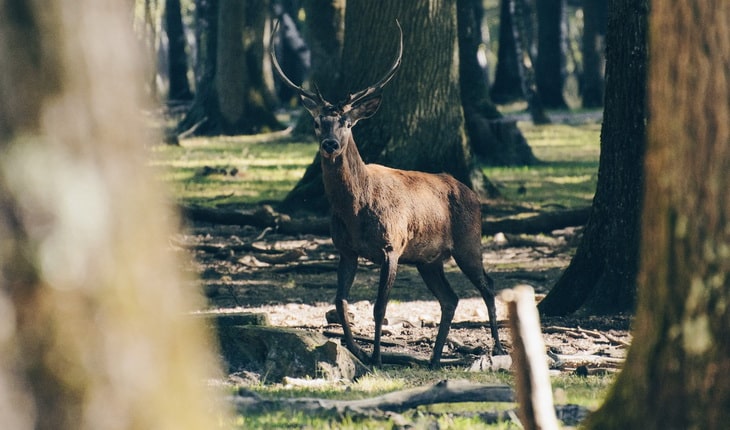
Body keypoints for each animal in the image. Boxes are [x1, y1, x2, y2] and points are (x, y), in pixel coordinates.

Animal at [270, 21, 504, 368]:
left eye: (348, 123)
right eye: (316, 122)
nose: (330, 144)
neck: (355, 210)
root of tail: (472, 193)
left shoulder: (391, 246)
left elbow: (380, 307)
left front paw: (378, 357)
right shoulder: (346, 249)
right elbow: (340, 302)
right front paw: (357, 351)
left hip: (468, 242)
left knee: (488, 286)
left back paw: (498, 349)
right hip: (428, 260)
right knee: (450, 298)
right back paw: (435, 358)